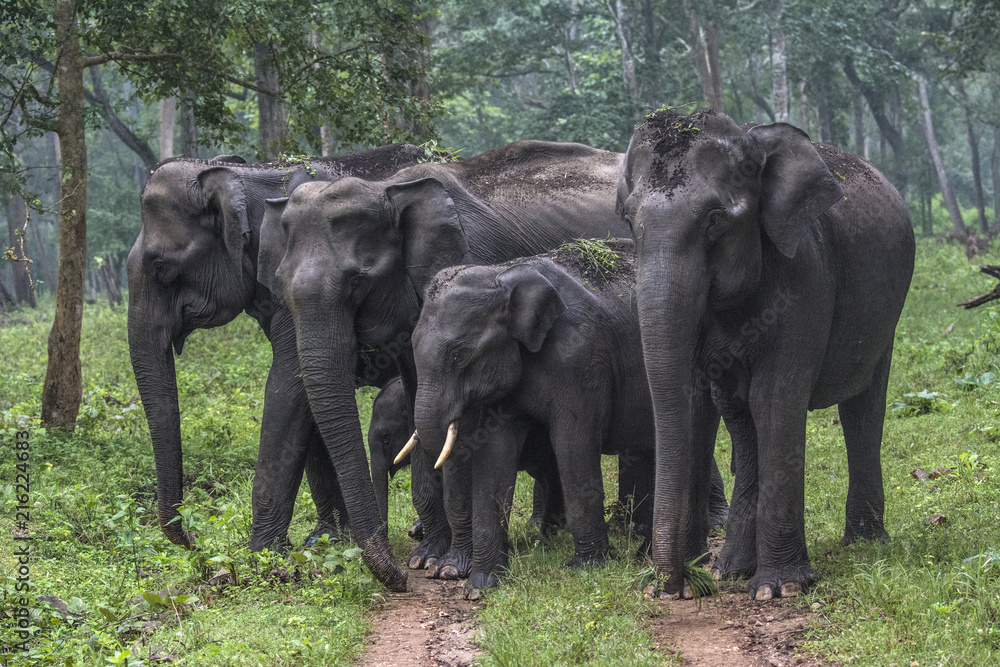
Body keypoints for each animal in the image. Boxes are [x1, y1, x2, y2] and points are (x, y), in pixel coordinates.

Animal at [126, 144, 422, 553]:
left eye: (160, 266)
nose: (194, 537)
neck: (247, 176)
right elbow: (308, 395)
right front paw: (326, 539)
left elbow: (288, 385)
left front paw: (261, 553)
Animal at [258, 140, 631, 591]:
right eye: (280, 286)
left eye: (357, 282)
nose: (400, 579)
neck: (388, 188)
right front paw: (428, 559)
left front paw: (445, 566)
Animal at [410, 240, 728, 595]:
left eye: (459, 355)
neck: (502, 275)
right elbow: (496, 454)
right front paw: (480, 586)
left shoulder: (580, 359)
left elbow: (572, 444)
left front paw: (588, 569)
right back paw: (644, 555)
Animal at [616, 109, 914, 600]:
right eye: (626, 219)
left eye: (715, 219)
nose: (673, 586)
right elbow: (706, 404)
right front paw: (714, 572)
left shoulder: (805, 278)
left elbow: (774, 399)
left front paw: (780, 588)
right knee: (741, 417)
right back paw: (734, 567)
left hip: (885, 316)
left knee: (863, 407)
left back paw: (864, 542)